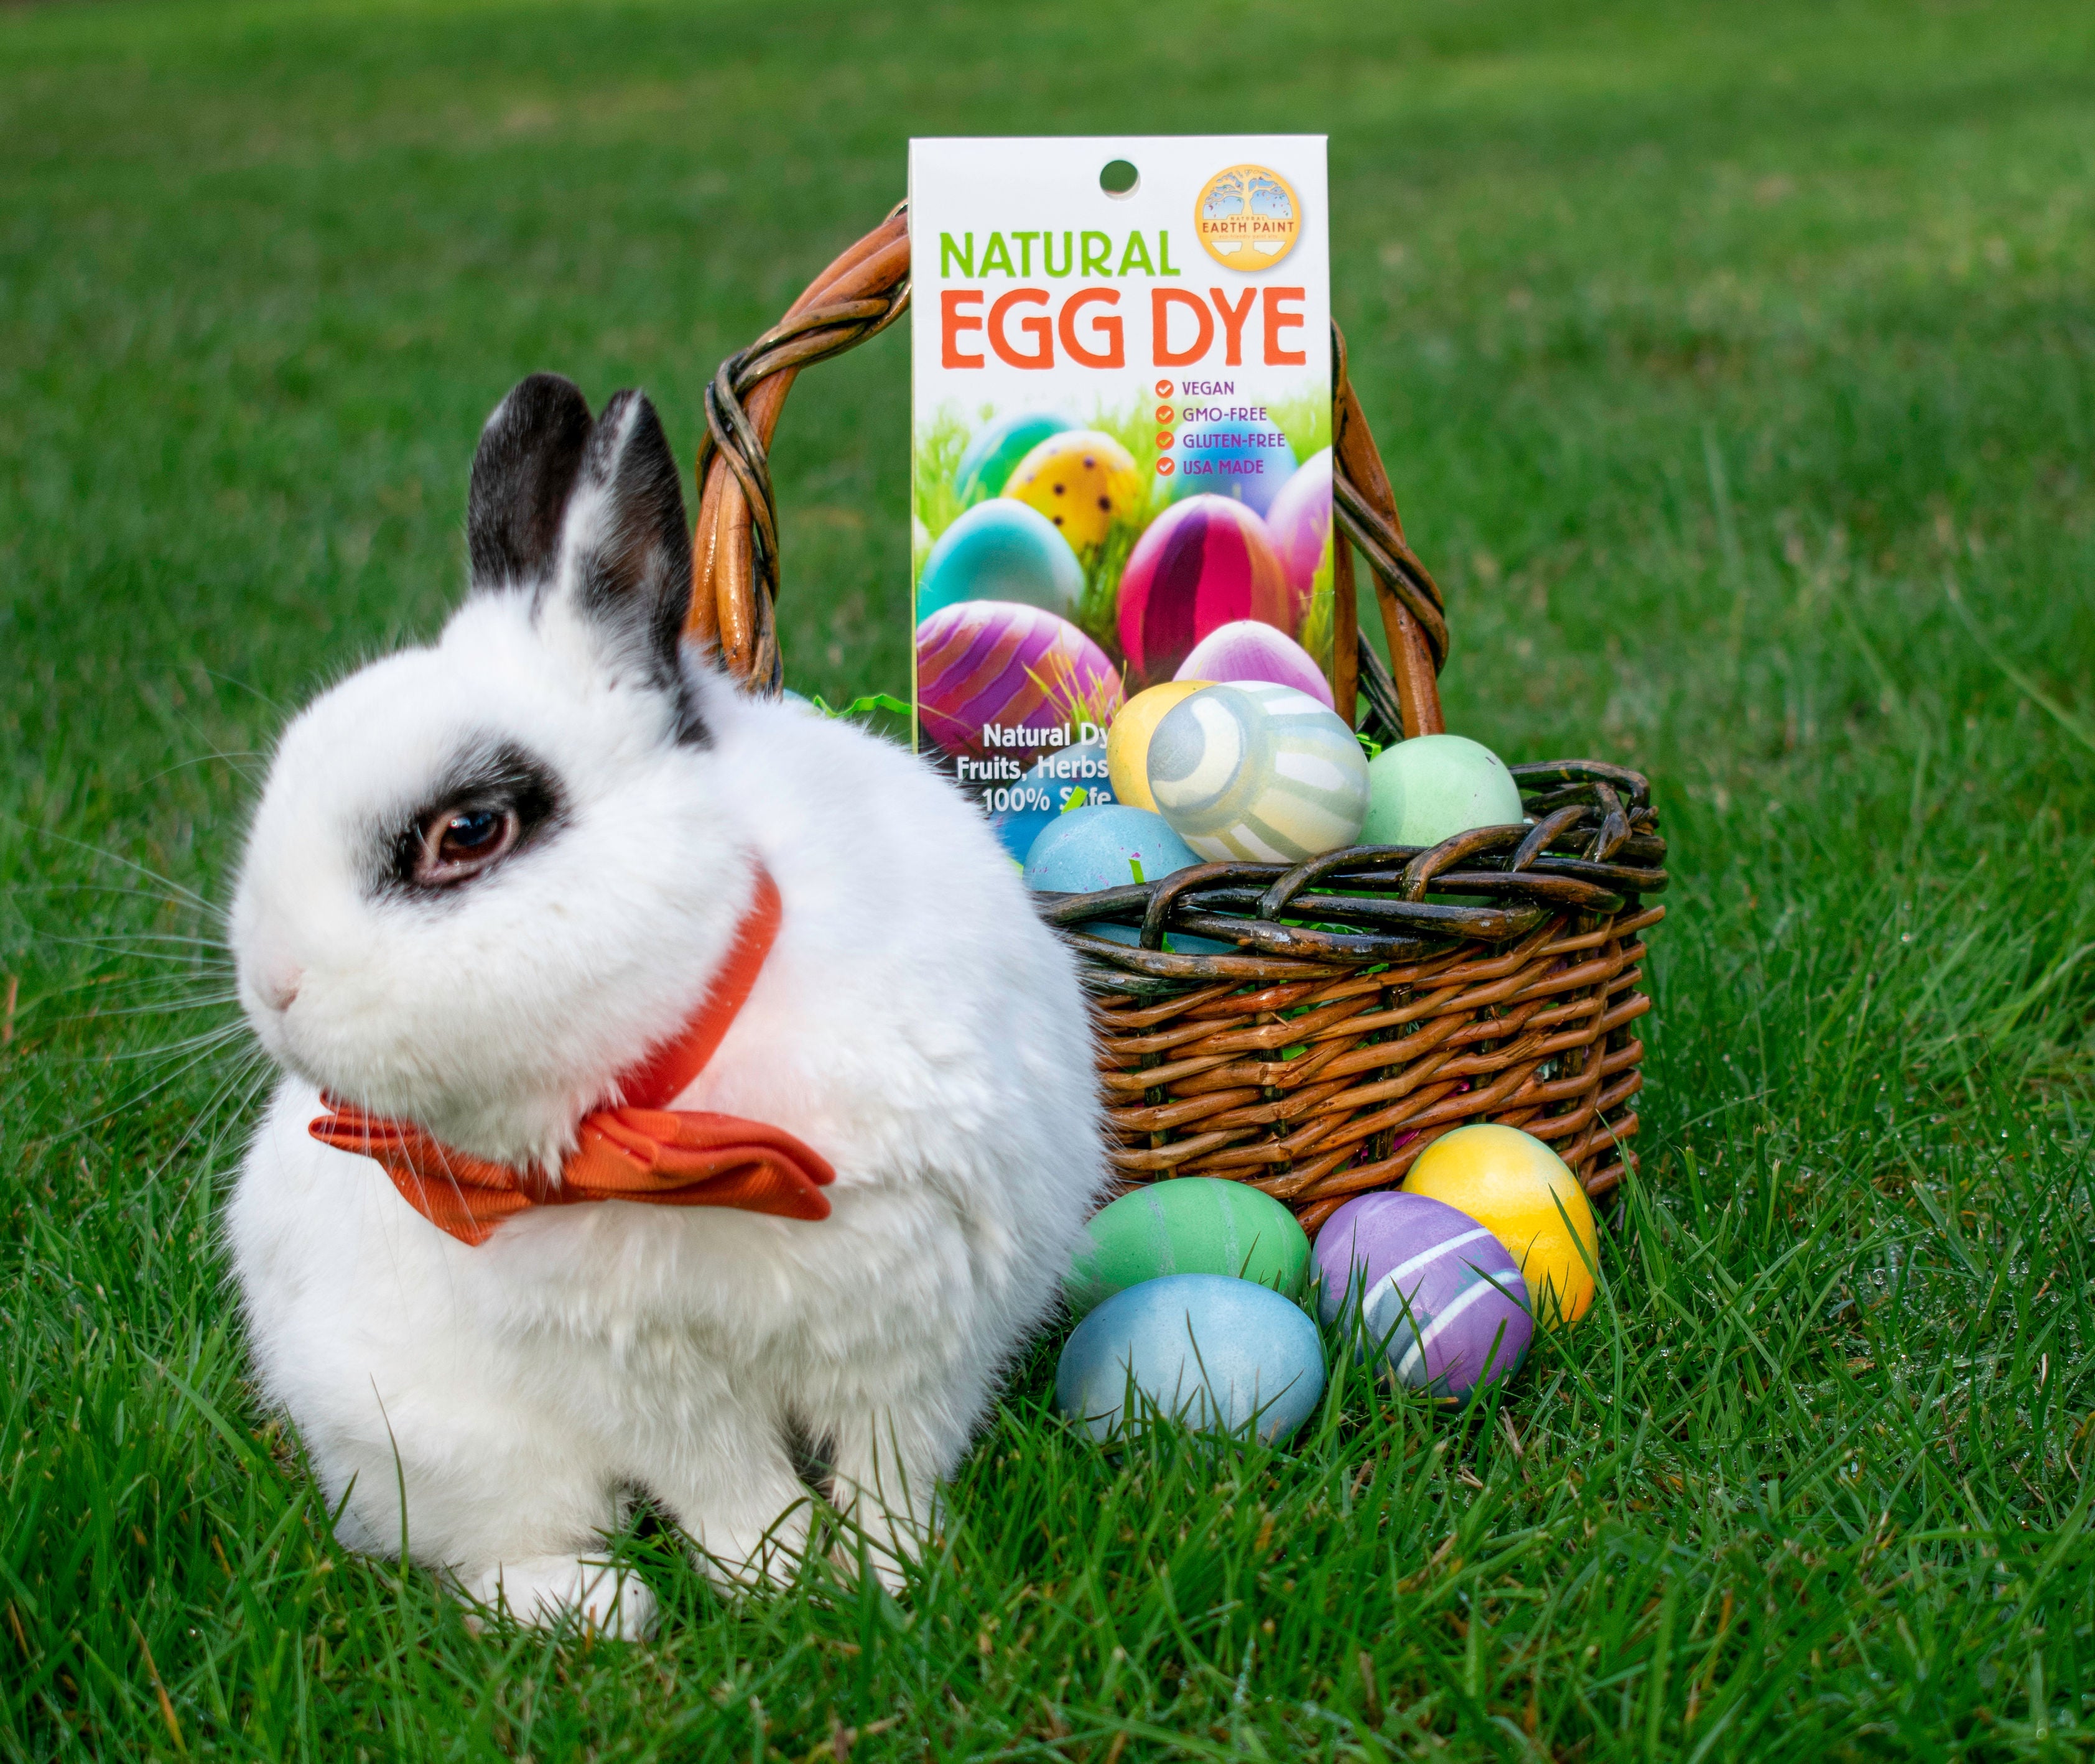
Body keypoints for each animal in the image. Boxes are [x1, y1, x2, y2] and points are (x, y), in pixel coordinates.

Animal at [225, 374, 1114, 1634]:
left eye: (469, 832)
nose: (274, 989)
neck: (677, 1090)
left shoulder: (926, 1321)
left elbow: (888, 1463)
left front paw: (894, 1574)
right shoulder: (640, 1373)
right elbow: (725, 1482)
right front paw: (781, 1583)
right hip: (441, 1442)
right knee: (478, 1551)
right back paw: (600, 1606)